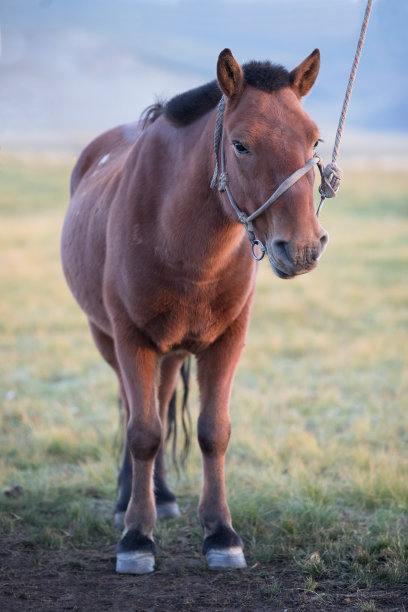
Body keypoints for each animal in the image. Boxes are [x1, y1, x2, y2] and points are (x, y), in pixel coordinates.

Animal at [60, 47, 328, 572]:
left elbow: (212, 431)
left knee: (162, 401)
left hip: (172, 351)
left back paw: (161, 495)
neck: (179, 237)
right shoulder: (131, 338)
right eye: (241, 145)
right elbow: (142, 432)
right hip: (109, 339)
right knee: (135, 408)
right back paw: (129, 499)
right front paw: (136, 537)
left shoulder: (226, 340)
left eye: (314, 140)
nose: (304, 247)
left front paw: (220, 533)